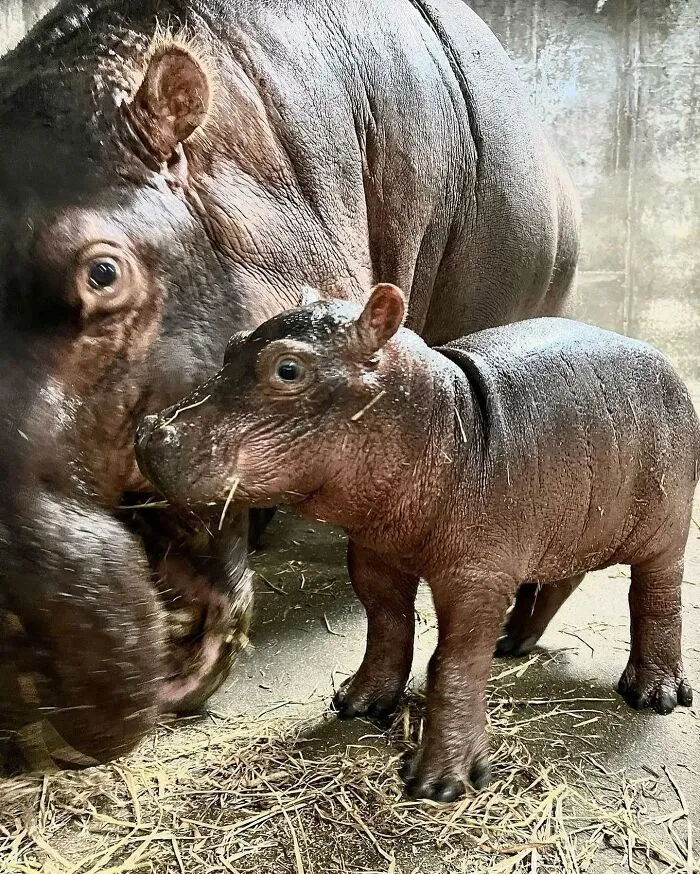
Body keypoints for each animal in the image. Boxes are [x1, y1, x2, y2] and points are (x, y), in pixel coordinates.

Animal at [136, 284, 697, 802]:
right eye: (232, 344)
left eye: (288, 369)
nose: (149, 431)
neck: (444, 420)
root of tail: (664, 362)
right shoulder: (374, 551)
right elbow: (386, 624)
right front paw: (356, 704)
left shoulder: (476, 576)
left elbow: (454, 664)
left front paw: (439, 784)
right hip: (569, 519)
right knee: (562, 577)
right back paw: (512, 644)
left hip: (666, 527)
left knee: (656, 598)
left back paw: (654, 695)